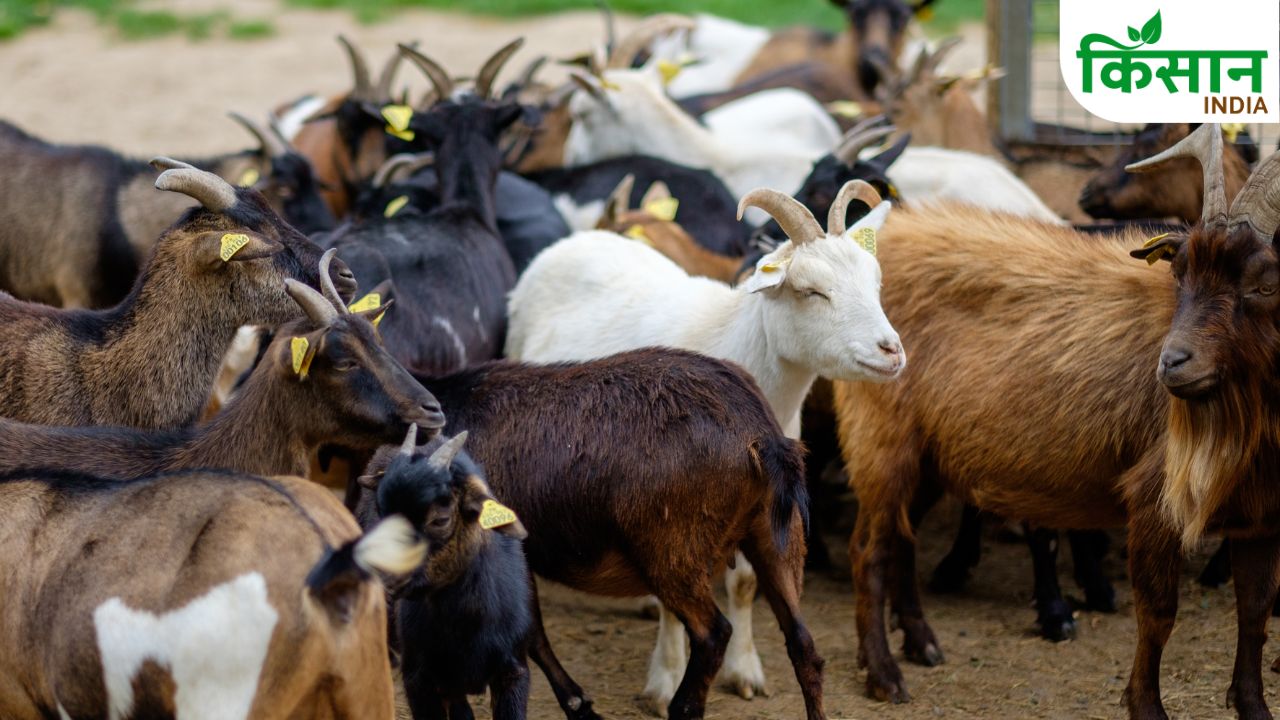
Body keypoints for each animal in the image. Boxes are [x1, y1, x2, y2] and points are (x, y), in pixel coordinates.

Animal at [415, 347, 823, 720]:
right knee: (804, 647)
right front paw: (579, 706)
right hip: (776, 539)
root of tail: (761, 437)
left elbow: (527, 635)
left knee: (714, 634)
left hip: (672, 552)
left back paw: (680, 705)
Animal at [507, 181, 901, 712]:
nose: (892, 351)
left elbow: (745, 583)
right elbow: (676, 605)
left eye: (875, 284)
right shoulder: (667, 510)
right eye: (810, 291)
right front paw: (665, 679)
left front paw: (746, 670)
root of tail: (581, 238)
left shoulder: (764, 500)